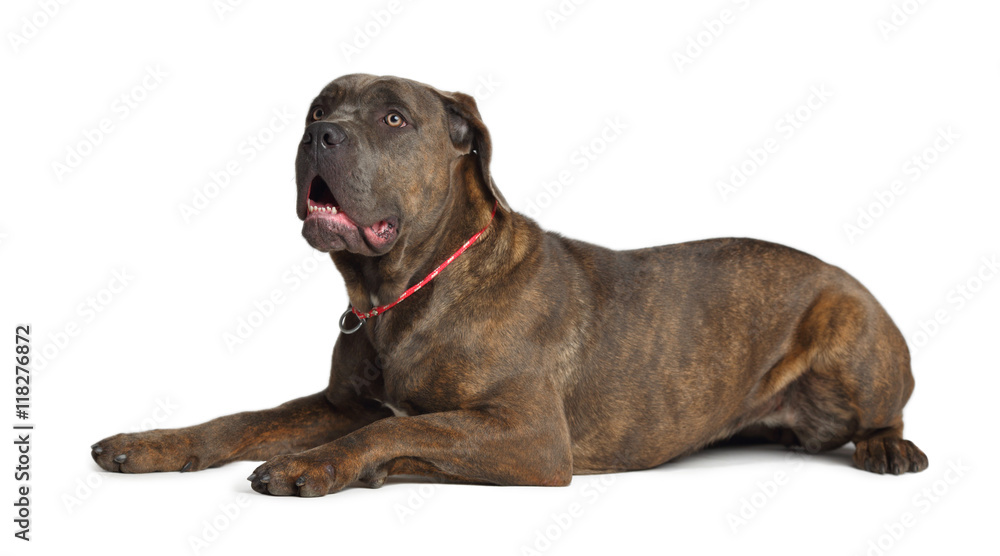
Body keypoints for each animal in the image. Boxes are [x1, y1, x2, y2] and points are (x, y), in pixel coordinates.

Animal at [92, 74, 928, 496]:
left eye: (393, 119)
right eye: (319, 109)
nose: (318, 135)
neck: (406, 292)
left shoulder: (527, 432)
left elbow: (395, 428)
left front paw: (316, 465)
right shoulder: (338, 403)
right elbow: (239, 420)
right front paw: (150, 443)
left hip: (852, 337)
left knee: (885, 412)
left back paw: (889, 449)